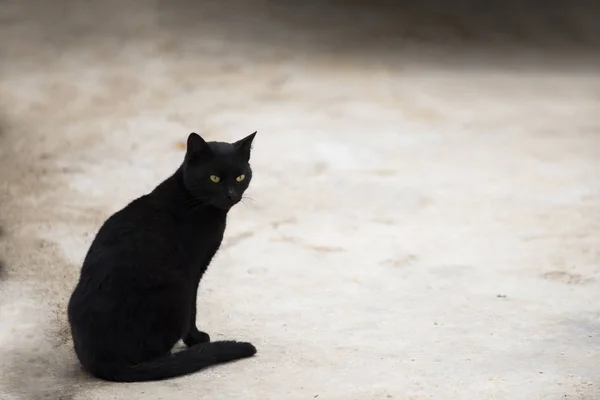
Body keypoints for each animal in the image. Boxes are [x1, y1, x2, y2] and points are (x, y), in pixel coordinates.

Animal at [67, 131, 258, 382]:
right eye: (215, 178)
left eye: (240, 177)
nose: (231, 195)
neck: (193, 203)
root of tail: (100, 362)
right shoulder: (193, 273)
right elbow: (193, 311)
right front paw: (196, 339)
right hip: (176, 292)